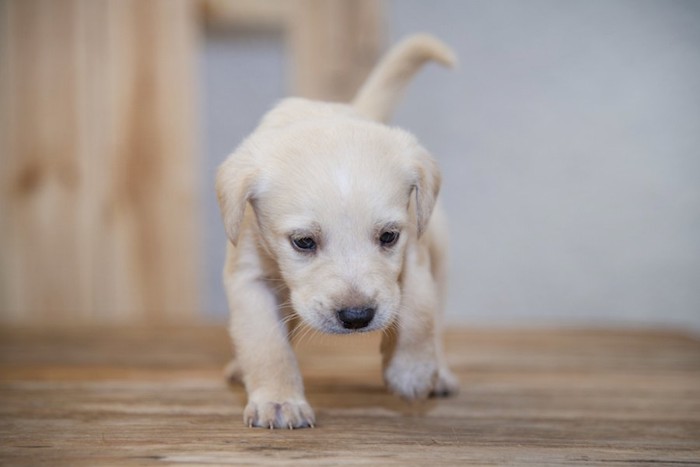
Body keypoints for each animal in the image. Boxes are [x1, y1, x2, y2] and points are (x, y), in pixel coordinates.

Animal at [219, 34, 460, 430]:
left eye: (388, 237)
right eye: (303, 242)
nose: (357, 317)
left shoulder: (414, 250)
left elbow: (419, 311)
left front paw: (411, 370)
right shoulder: (248, 277)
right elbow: (266, 344)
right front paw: (279, 400)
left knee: (437, 318)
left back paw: (439, 372)